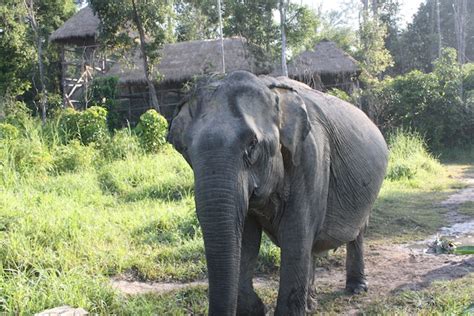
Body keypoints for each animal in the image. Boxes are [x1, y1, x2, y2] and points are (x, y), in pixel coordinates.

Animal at [168, 70, 388, 314]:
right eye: (183, 149)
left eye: (252, 145)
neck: (270, 89)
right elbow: (246, 238)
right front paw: (254, 309)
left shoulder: (311, 158)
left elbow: (296, 236)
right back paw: (310, 304)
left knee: (356, 233)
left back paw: (356, 289)